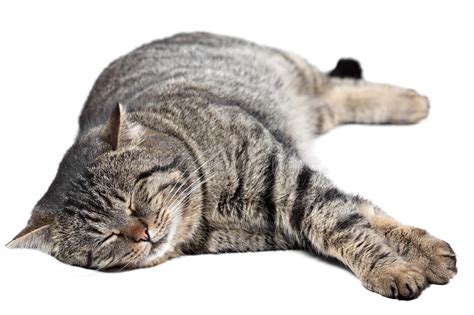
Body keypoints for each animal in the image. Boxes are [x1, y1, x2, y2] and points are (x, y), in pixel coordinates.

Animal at [6, 32, 456, 302]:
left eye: (133, 199)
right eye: (106, 236)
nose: (143, 233)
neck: (210, 209)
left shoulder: (292, 179)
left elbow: (347, 222)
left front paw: (402, 262)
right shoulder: (289, 219)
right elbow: (360, 218)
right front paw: (413, 259)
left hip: (289, 68)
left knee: (334, 85)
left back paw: (412, 101)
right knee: (333, 99)